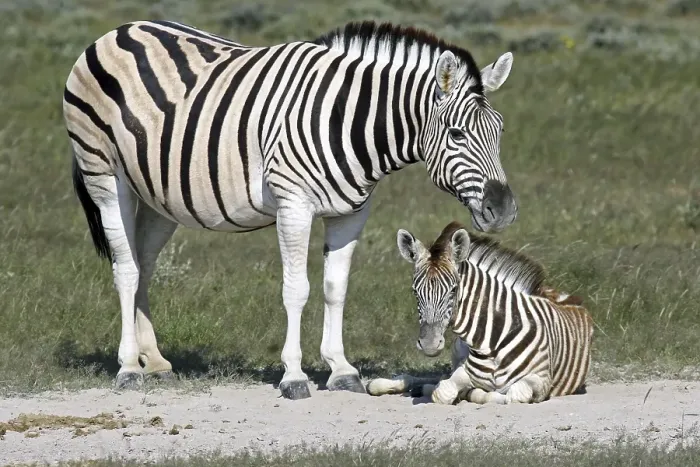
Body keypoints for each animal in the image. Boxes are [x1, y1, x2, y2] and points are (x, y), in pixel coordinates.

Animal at [63, 20, 519, 400]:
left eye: (500, 130)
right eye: (457, 134)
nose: (504, 211)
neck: (347, 122)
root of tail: (119, 30)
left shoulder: (352, 212)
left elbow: (336, 288)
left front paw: (341, 370)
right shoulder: (293, 206)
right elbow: (296, 289)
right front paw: (295, 376)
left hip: (160, 198)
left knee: (144, 264)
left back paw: (153, 360)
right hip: (106, 177)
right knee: (126, 269)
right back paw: (128, 367)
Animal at [368, 221, 593, 405]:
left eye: (453, 289)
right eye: (415, 291)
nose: (430, 344)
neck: (493, 341)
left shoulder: (541, 379)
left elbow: (511, 394)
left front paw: (472, 394)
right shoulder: (464, 371)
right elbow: (445, 390)